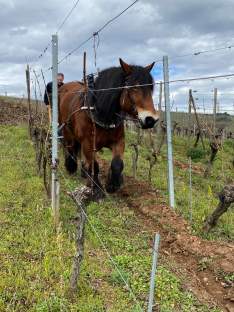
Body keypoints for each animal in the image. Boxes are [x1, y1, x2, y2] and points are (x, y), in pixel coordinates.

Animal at [59, 58, 160, 197]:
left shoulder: (119, 141)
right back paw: (71, 167)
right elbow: (95, 165)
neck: (100, 112)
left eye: (150, 89)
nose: (151, 120)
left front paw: (113, 184)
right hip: (66, 131)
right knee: (69, 148)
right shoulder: (88, 144)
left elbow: (117, 164)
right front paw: (97, 188)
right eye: (133, 87)